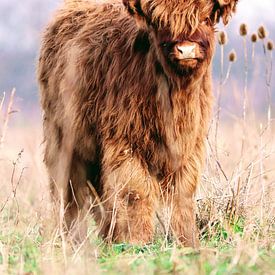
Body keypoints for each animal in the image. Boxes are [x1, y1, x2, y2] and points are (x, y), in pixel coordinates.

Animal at [37, 0, 238, 248]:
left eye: (206, 18)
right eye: (161, 21)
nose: (186, 50)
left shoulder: (190, 146)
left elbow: (183, 193)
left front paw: (186, 241)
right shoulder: (124, 143)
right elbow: (135, 191)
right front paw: (136, 241)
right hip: (63, 138)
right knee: (69, 192)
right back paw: (73, 239)